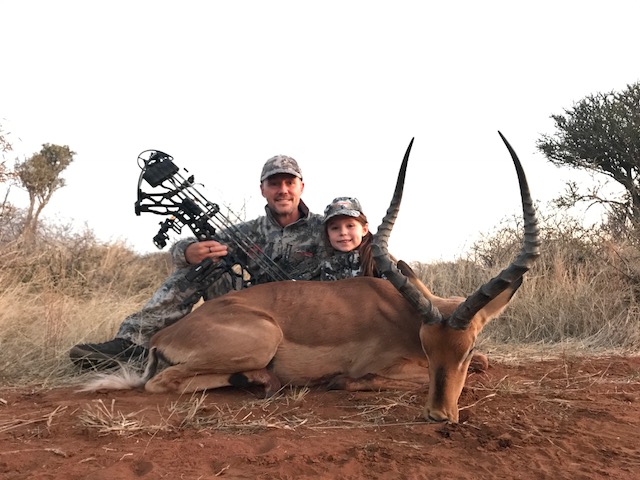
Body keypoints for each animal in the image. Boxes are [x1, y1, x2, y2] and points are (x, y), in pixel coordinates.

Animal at [82, 132, 540, 423]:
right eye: (429, 347)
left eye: (465, 346)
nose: (438, 415)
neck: (401, 310)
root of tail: (163, 337)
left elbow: (483, 363)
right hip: (261, 337)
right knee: (163, 383)